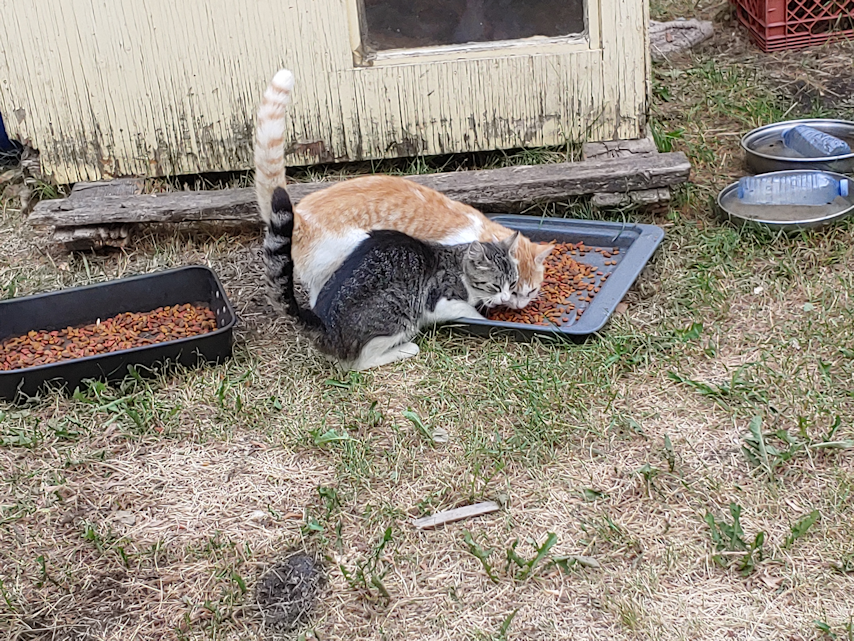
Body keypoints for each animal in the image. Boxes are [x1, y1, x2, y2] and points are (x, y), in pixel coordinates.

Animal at [264, 186, 519, 370]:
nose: (506, 297)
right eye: (496, 286)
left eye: (513, 283)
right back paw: (406, 349)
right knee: (358, 363)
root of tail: (325, 324)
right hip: (400, 315)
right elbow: (467, 310)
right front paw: (482, 315)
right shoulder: (440, 302)